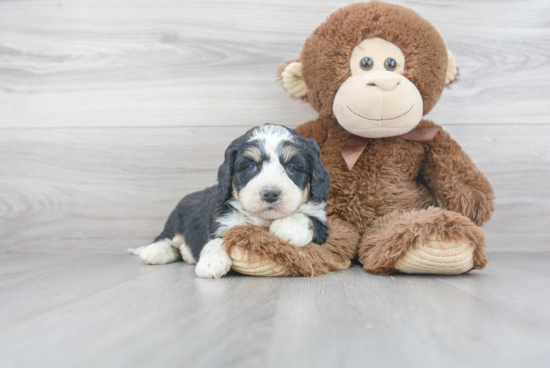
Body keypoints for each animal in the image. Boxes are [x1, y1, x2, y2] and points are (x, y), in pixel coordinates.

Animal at [129, 124, 332, 278]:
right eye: (250, 167)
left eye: (291, 168)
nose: (270, 194)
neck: (261, 220)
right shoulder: (221, 219)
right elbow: (217, 239)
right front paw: (211, 262)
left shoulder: (322, 224)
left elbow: (308, 217)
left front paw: (288, 226)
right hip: (177, 217)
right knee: (167, 237)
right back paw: (155, 251)